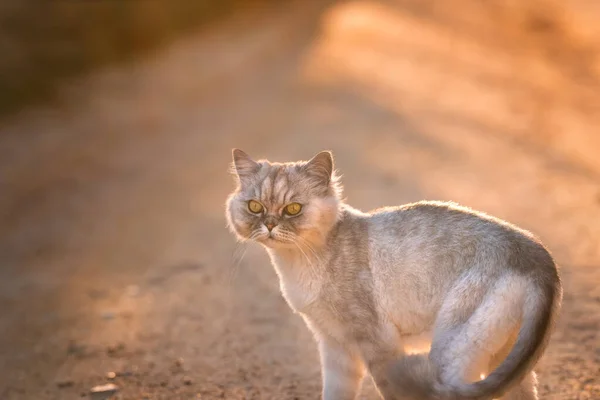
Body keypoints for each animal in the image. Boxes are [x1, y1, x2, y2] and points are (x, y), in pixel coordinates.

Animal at [225, 149, 564, 400]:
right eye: (255, 207)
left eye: (293, 209)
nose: (269, 225)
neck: (296, 264)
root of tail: (537, 253)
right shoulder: (334, 347)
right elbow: (334, 394)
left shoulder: (377, 344)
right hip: (505, 359)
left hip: (452, 352)